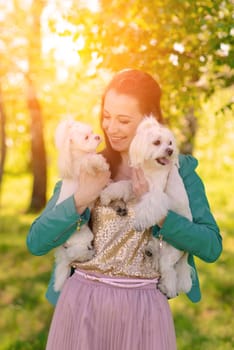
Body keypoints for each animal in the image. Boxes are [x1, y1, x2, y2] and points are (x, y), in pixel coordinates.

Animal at [53, 119, 109, 292]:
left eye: (91, 132)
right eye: (86, 137)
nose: (97, 136)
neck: (81, 155)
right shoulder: (83, 166)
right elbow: (91, 162)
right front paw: (101, 164)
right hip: (83, 238)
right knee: (75, 253)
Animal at [100, 116, 194, 296]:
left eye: (170, 143)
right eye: (157, 142)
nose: (170, 151)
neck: (151, 170)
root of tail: (186, 253)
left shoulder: (157, 195)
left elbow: (149, 206)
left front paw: (139, 222)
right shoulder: (133, 185)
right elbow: (120, 186)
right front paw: (107, 194)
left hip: (170, 253)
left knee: (168, 271)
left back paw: (166, 288)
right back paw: (150, 251)